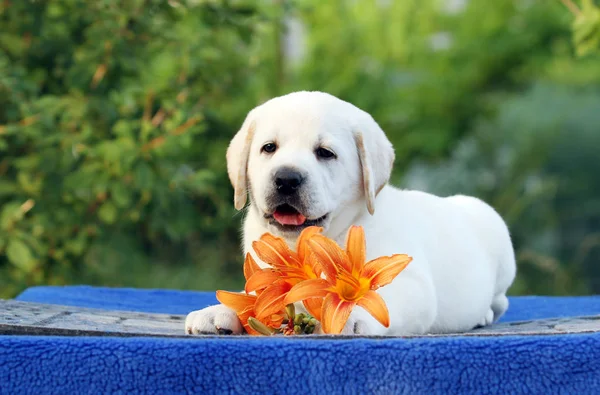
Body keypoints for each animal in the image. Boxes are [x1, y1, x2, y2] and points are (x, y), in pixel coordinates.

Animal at [186, 91, 516, 336]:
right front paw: (217, 312)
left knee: (500, 301)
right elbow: (254, 298)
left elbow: (382, 302)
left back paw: (485, 313)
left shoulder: (413, 284)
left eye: (325, 153)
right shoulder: (263, 278)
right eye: (269, 148)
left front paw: (352, 316)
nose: (286, 179)